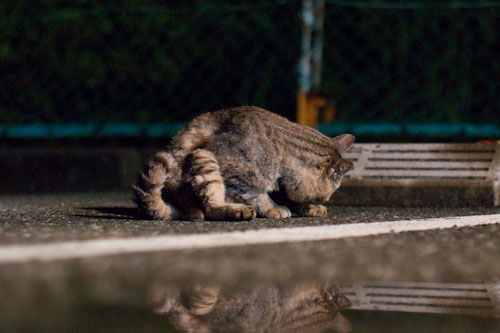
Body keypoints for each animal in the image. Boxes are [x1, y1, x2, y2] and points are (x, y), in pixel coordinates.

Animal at [134, 105, 356, 220]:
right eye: (323, 197)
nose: (323, 201)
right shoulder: (231, 168)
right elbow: (256, 194)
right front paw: (273, 207)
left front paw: (308, 207)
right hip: (204, 159)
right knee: (211, 208)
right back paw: (236, 211)